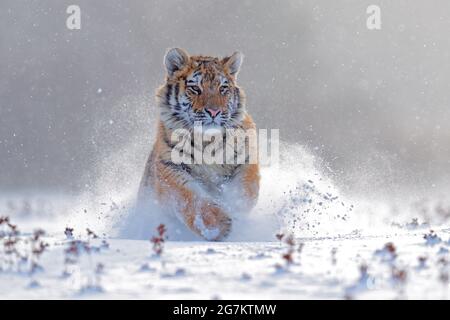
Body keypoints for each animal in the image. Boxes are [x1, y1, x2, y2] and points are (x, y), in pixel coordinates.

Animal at [139, 48, 262, 240]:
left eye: (223, 88)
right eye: (195, 88)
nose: (214, 111)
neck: (207, 140)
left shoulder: (246, 159)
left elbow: (244, 192)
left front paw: (234, 208)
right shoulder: (170, 168)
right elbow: (191, 198)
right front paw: (217, 227)